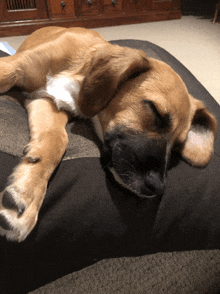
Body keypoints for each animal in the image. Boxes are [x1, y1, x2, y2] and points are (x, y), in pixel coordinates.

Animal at [0, 27, 217, 241]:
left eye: (178, 146)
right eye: (155, 112)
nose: (156, 188)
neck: (80, 74)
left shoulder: (47, 102)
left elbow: (57, 141)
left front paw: (26, 193)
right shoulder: (12, 66)